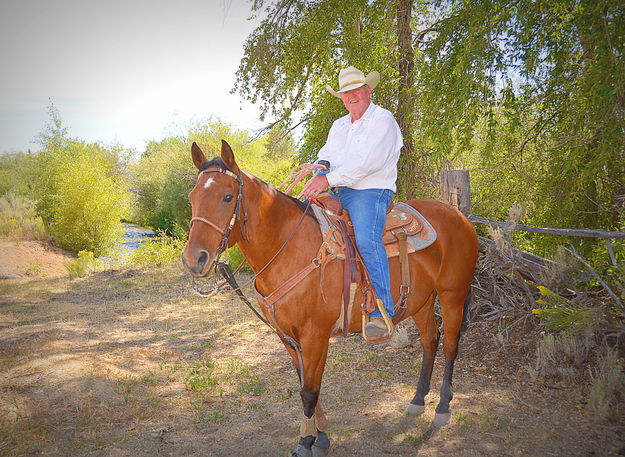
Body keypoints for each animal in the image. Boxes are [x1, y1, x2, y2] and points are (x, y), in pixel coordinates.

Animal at [182, 140, 478, 456]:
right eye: (192, 197)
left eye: (227, 197)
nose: (193, 259)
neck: (288, 249)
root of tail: (460, 217)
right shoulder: (288, 337)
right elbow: (305, 385)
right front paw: (320, 436)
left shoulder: (315, 335)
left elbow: (309, 391)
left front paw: (305, 442)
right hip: (420, 301)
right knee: (430, 341)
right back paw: (417, 401)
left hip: (452, 295)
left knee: (450, 346)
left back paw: (443, 408)